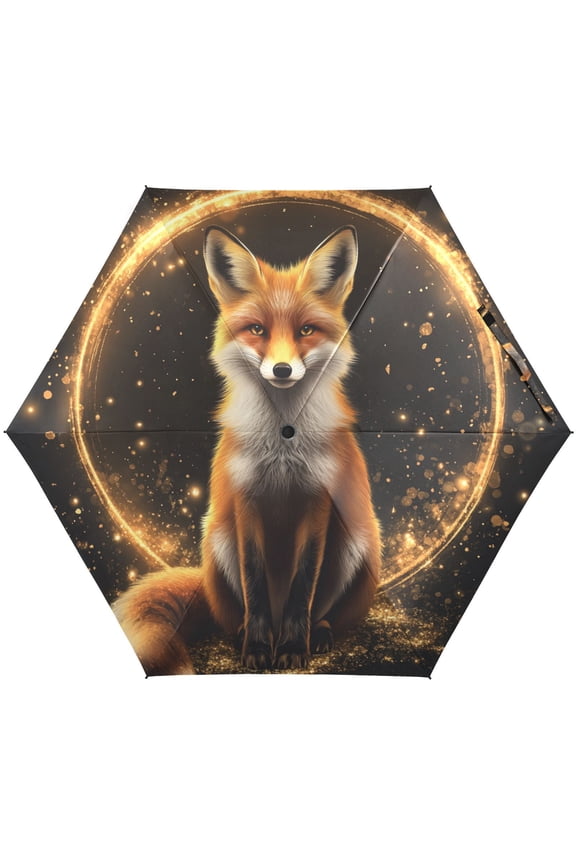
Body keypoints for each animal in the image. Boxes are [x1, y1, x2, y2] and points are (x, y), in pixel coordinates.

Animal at [113, 224, 382, 674]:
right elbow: (253, 583)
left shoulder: (319, 503)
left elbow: (302, 587)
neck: (284, 441)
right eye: (257, 330)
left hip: (354, 541)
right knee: (234, 612)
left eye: (306, 330)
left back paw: (318, 634)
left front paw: (291, 647)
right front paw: (257, 648)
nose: (282, 370)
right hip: (218, 539)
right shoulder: (245, 500)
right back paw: (243, 632)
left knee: (323, 611)